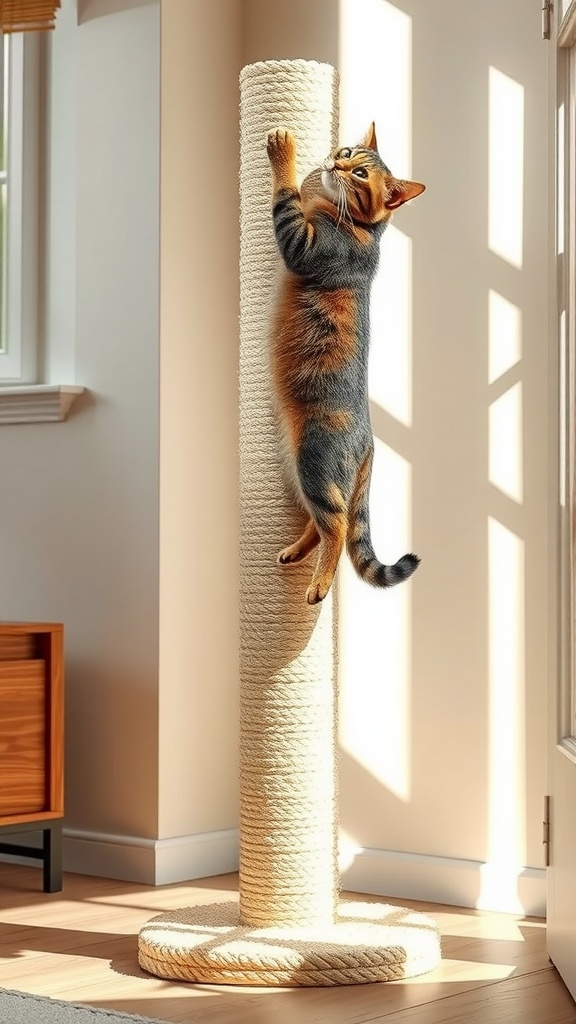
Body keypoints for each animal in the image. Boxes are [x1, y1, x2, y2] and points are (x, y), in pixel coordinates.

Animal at [266, 125, 424, 606]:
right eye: (349, 151)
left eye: (359, 174)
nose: (336, 161)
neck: (362, 231)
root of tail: (370, 442)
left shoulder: (303, 243)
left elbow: (286, 200)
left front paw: (284, 152)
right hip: (299, 465)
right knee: (320, 523)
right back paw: (296, 554)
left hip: (313, 460)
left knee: (334, 525)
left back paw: (318, 585)